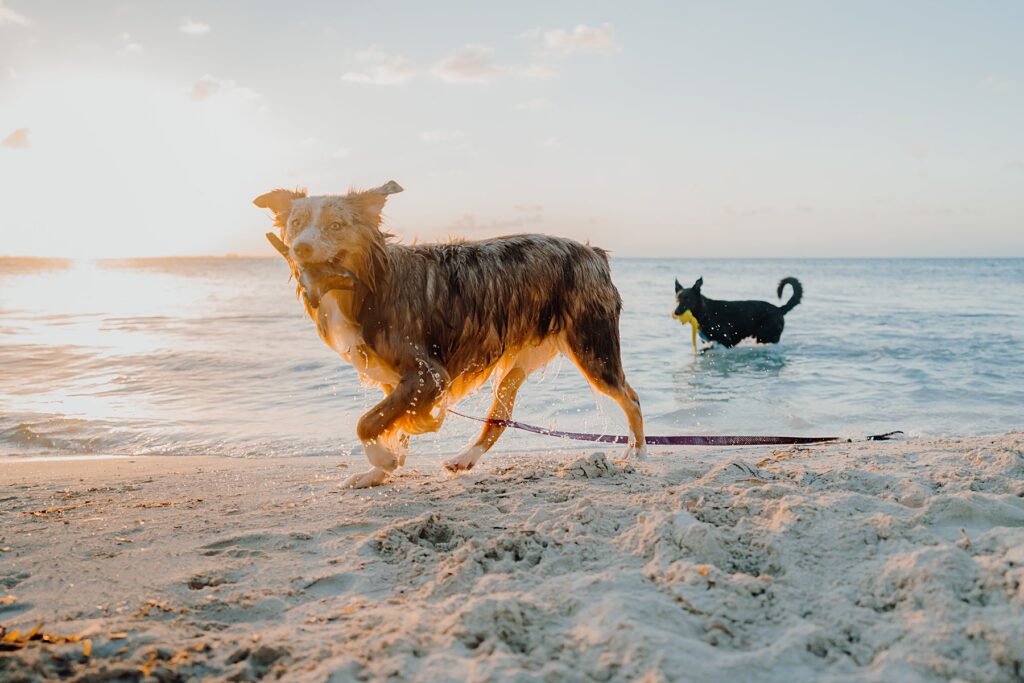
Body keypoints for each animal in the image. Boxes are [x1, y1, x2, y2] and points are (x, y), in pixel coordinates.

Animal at [252, 181, 643, 489]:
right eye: (296, 223)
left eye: (335, 225)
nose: (300, 247)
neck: (371, 284)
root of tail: (593, 252)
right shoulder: (403, 382)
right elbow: (390, 427)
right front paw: (378, 473)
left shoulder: (428, 374)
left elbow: (367, 422)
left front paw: (382, 461)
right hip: (519, 363)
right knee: (499, 418)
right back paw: (465, 458)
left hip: (593, 349)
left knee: (631, 398)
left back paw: (637, 453)